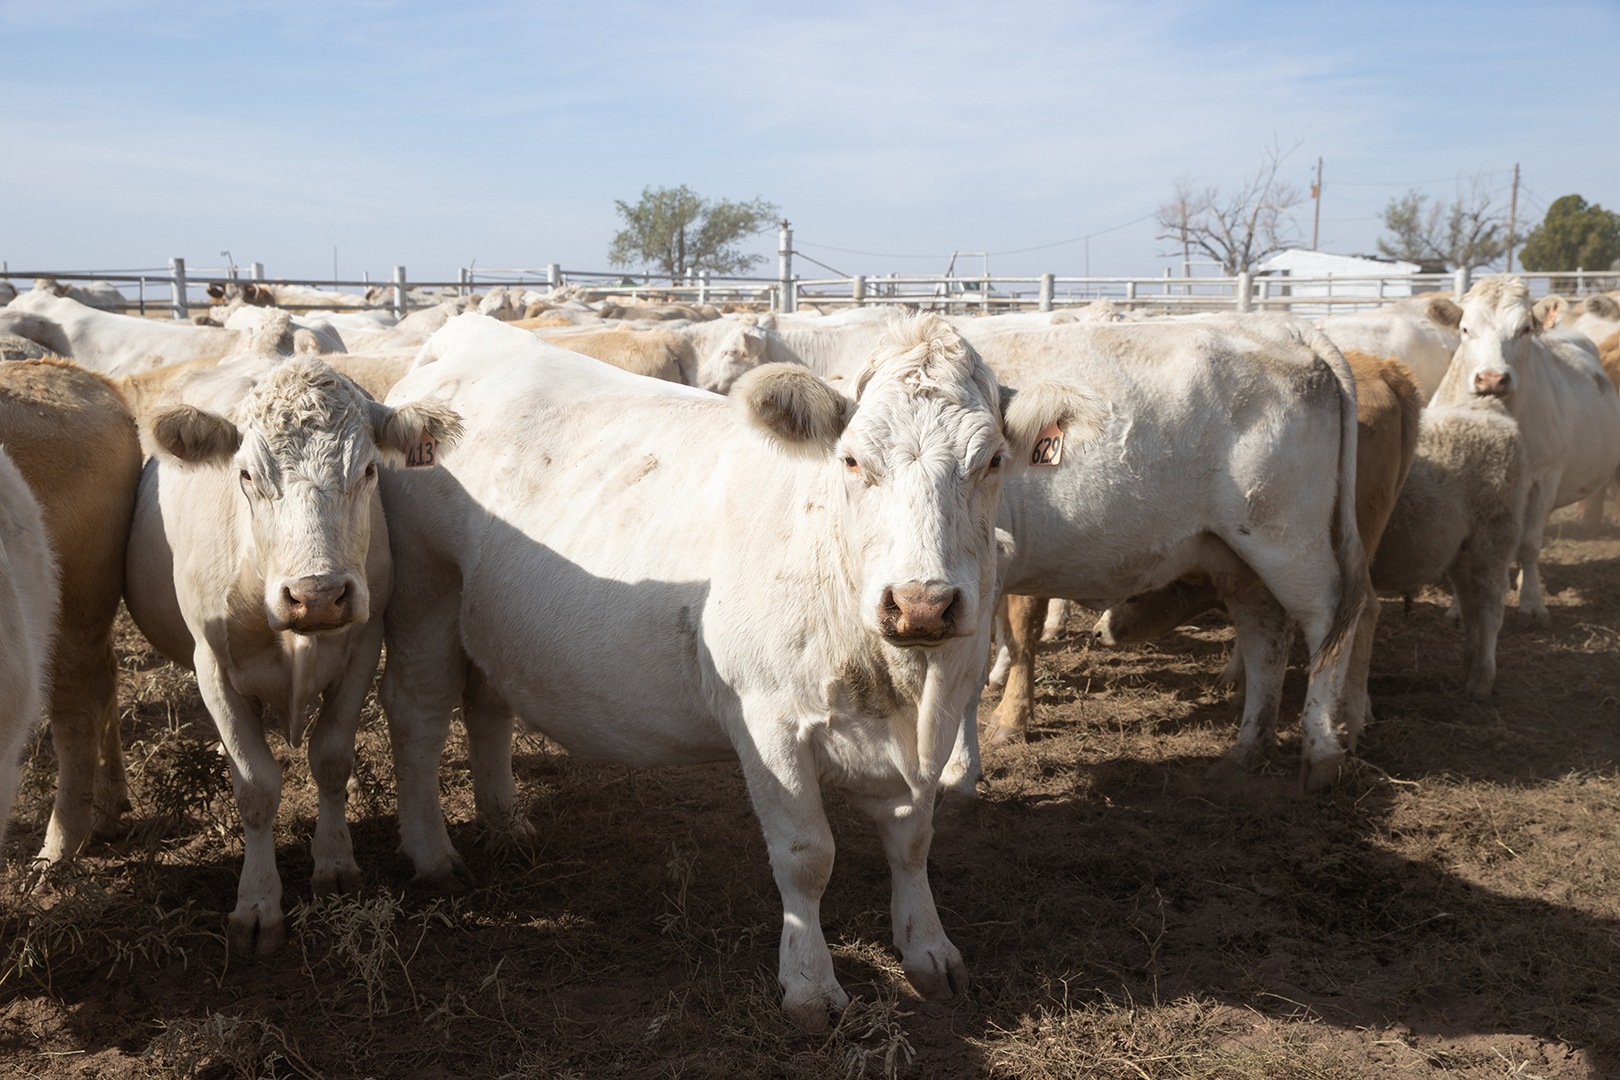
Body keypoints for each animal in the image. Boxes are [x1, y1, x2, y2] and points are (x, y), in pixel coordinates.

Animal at [375, 314, 1101, 1029]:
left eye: (992, 461)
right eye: (852, 459)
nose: (921, 601)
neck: (895, 683)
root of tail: (467, 333)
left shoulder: (938, 719)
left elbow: (914, 841)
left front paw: (928, 950)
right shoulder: (768, 722)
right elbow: (807, 856)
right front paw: (810, 985)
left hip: (490, 622)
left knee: (487, 706)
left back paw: (507, 825)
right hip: (423, 600)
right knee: (416, 715)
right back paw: (433, 854)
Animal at [1432, 275, 1620, 621]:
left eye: (1525, 329)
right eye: (1465, 329)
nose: (1492, 378)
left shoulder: (1544, 479)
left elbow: (1530, 544)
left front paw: (1532, 601)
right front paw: (1458, 607)